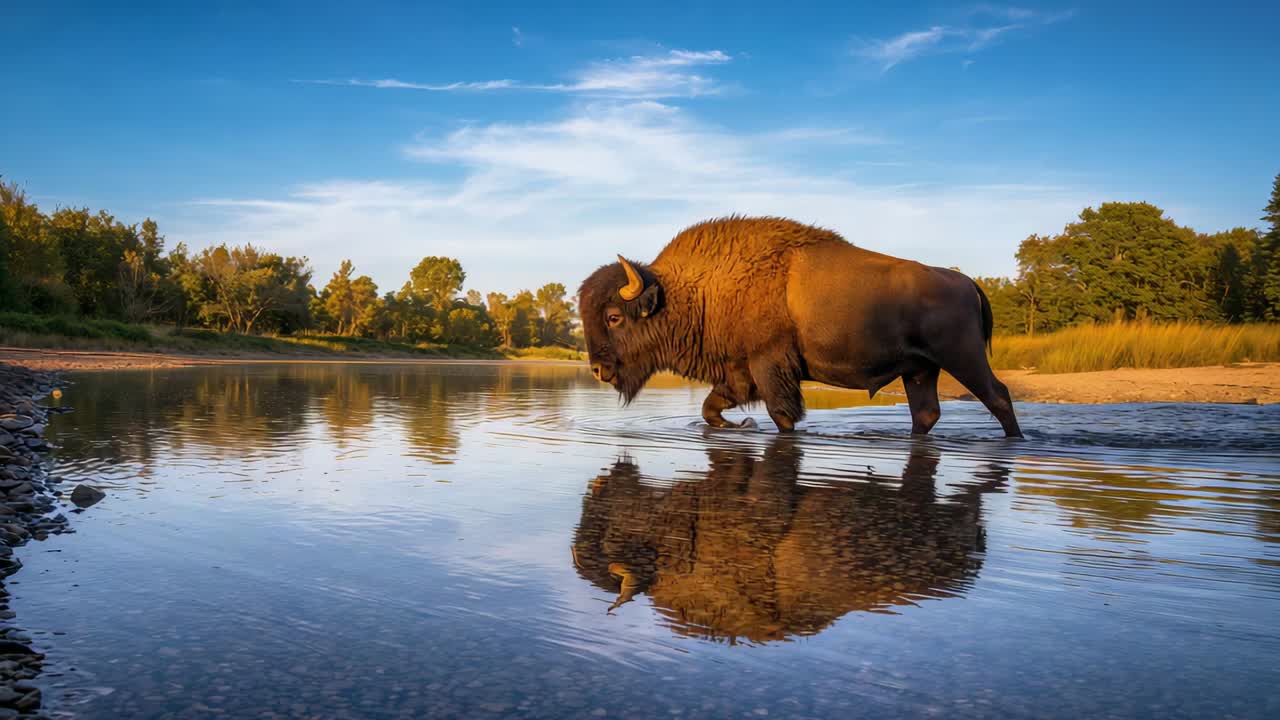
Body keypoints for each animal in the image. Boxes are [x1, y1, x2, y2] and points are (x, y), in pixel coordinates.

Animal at [578, 217, 1022, 436]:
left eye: (614, 317)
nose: (598, 370)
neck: (693, 291)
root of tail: (965, 281)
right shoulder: (738, 372)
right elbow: (710, 407)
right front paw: (739, 425)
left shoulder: (769, 365)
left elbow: (782, 414)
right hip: (919, 371)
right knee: (926, 415)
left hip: (963, 358)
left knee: (998, 396)